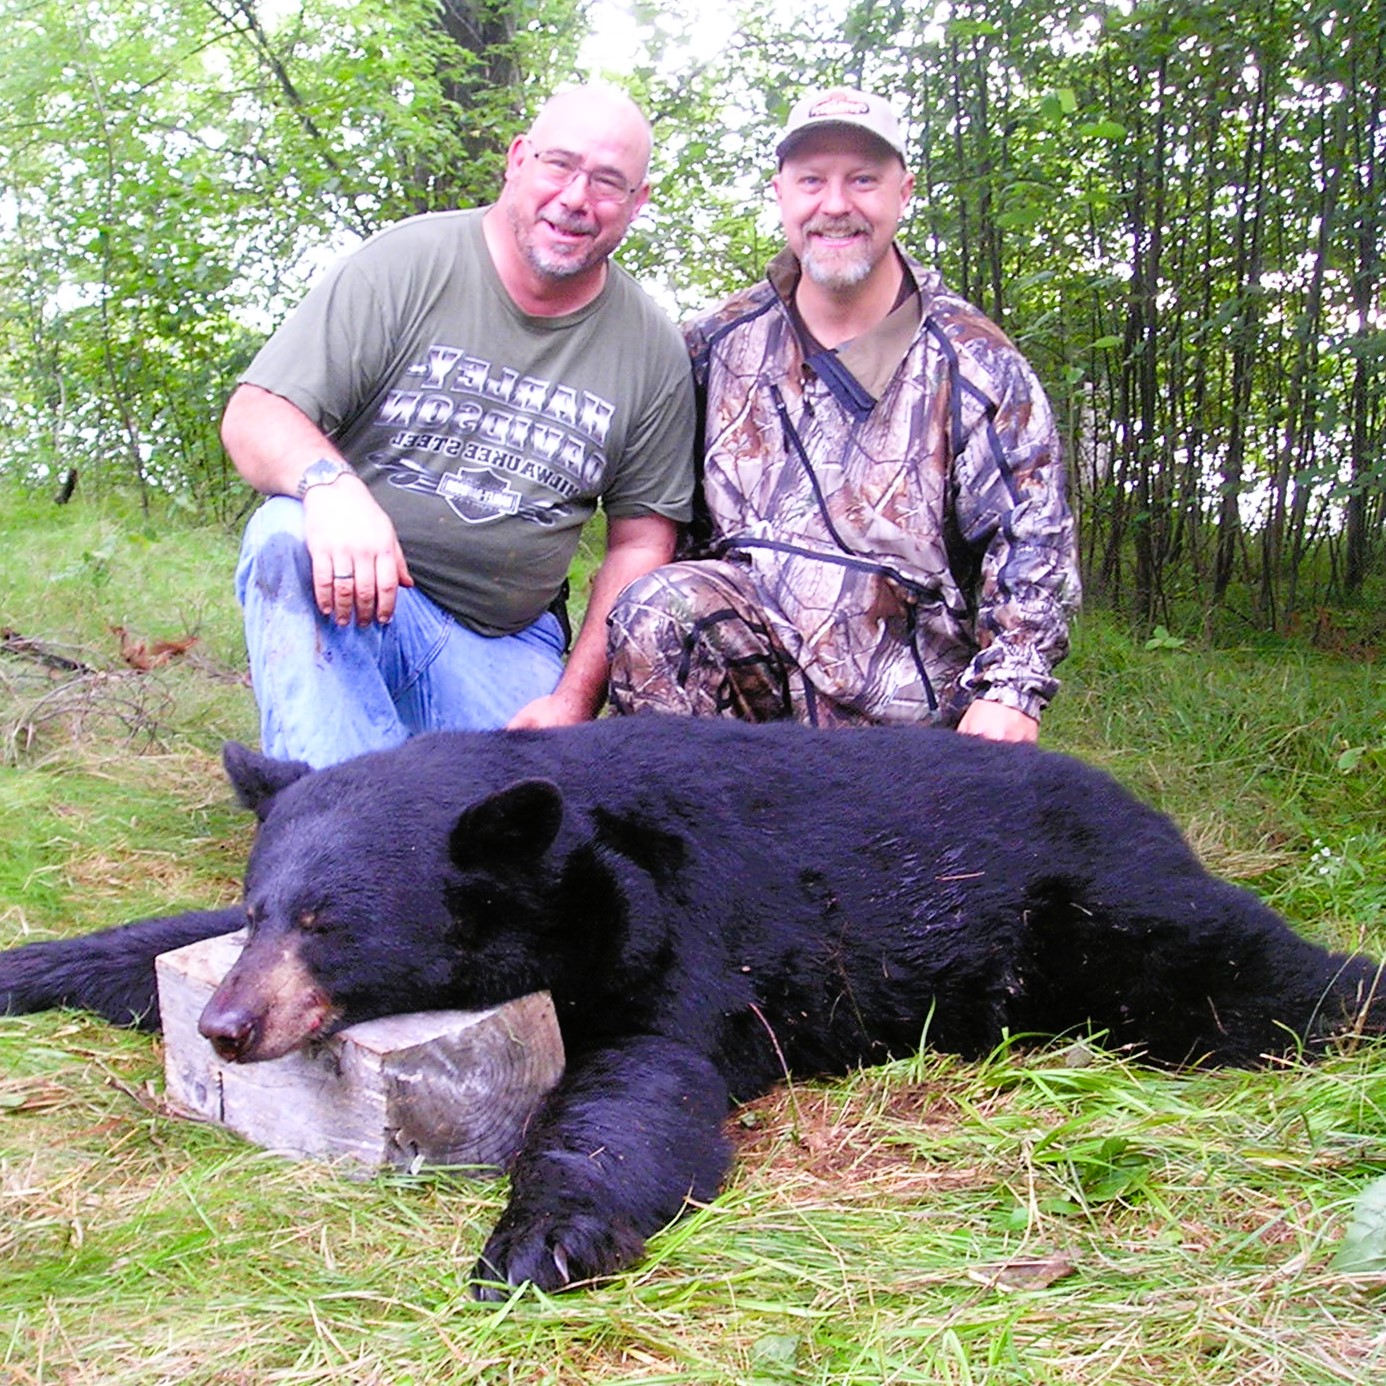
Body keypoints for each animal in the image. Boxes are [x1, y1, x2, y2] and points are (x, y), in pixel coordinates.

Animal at [0, 717, 1381, 1299]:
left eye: (333, 922)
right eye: (264, 905)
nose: (230, 1028)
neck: (570, 859)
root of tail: (1155, 813)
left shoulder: (684, 923)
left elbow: (639, 1081)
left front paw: (538, 1243)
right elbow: (149, 939)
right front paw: (31, 963)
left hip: (1101, 917)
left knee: (1260, 981)